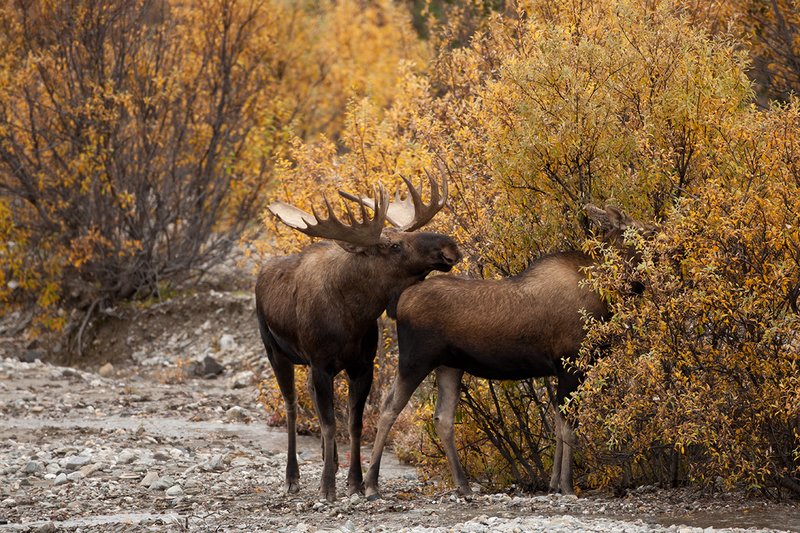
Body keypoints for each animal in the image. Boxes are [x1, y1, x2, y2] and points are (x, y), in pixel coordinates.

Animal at [256, 172, 461, 502]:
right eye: (395, 245)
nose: (449, 245)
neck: (353, 316)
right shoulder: (321, 364)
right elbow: (329, 424)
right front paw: (327, 486)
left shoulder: (362, 366)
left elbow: (354, 424)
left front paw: (355, 481)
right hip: (275, 350)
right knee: (291, 407)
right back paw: (292, 477)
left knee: (311, 400)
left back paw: (329, 461)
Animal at [363, 204, 654, 500]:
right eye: (650, 231)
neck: (607, 293)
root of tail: (399, 303)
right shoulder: (569, 364)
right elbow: (567, 428)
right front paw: (567, 485)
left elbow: (558, 424)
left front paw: (553, 484)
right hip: (415, 359)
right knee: (389, 408)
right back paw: (371, 485)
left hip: (450, 366)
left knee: (442, 418)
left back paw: (463, 484)